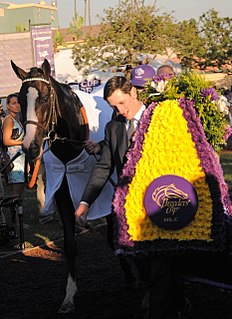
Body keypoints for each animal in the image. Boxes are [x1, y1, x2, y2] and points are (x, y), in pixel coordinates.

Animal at [10, 59, 114, 316]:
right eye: (20, 98)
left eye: (46, 97)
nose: (30, 147)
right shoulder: (62, 194)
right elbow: (69, 245)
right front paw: (69, 297)